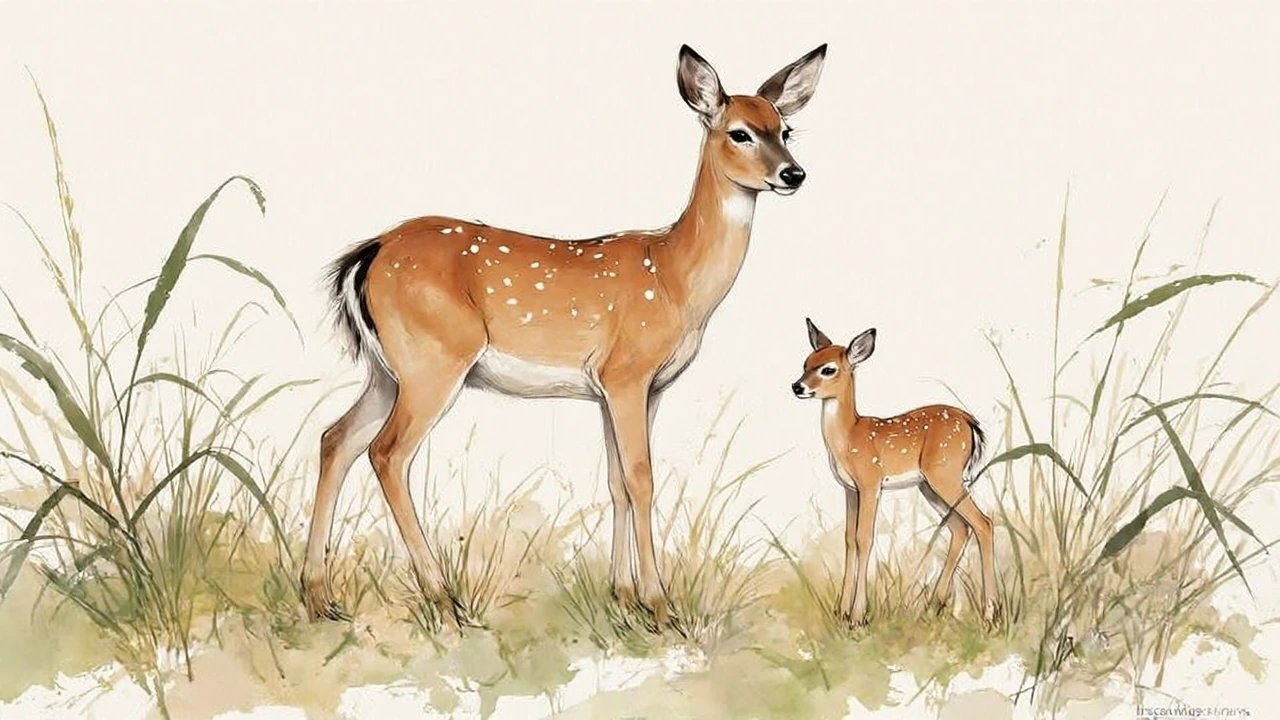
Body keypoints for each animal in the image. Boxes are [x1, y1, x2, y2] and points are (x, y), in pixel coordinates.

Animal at [300, 44, 828, 626]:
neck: (676, 279)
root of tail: (367, 254)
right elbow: (642, 479)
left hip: (387, 369)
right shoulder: (626, 373)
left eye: (785, 129)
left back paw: (320, 597)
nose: (794, 173)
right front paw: (660, 604)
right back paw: (442, 596)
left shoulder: (632, 388)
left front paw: (623, 596)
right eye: (739, 133)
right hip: (434, 359)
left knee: (335, 439)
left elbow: (617, 483)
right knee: (388, 453)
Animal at [791, 320, 998, 626]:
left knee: (983, 523)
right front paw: (841, 612)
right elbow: (849, 540)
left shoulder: (870, 482)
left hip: (945, 474)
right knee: (961, 527)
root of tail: (969, 422)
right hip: (930, 485)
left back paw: (990, 613)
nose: (797, 386)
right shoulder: (850, 488)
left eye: (827, 369)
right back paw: (933, 606)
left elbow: (864, 538)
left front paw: (857, 616)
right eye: (805, 363)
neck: (849, 438)